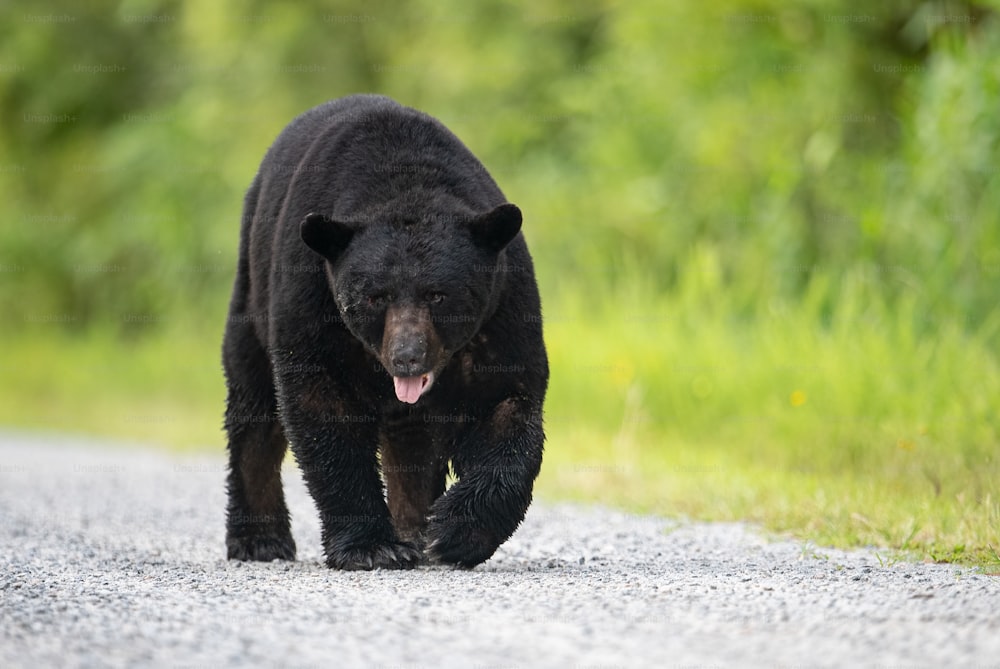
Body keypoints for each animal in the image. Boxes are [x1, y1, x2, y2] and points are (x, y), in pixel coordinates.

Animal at [222, 95, 548, 568]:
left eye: (438, 294)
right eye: (375, 296)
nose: (406, 356)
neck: (404, 183)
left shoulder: (501, 311)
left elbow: (507, 406)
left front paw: (454, 532)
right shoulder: (313, 300)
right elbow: (322, 408)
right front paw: (371, 546)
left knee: (410, 442)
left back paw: (414, 529)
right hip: (252, 290)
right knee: (254, 407)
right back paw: (259, 539)